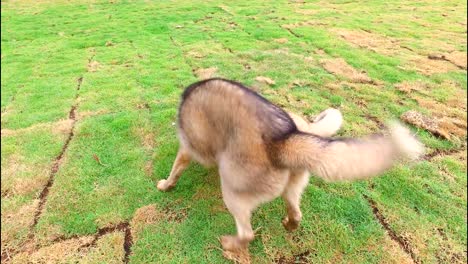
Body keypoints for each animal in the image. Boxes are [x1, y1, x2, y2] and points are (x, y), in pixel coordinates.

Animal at [157, 78, 424, 258]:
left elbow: (176, 168)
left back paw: (230, 244)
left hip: (233, 193)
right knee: (296, 212)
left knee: (247, 233)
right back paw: (289, 224)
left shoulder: (186, 149)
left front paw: (166, 185)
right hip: (292, 185)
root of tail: (283, 138)